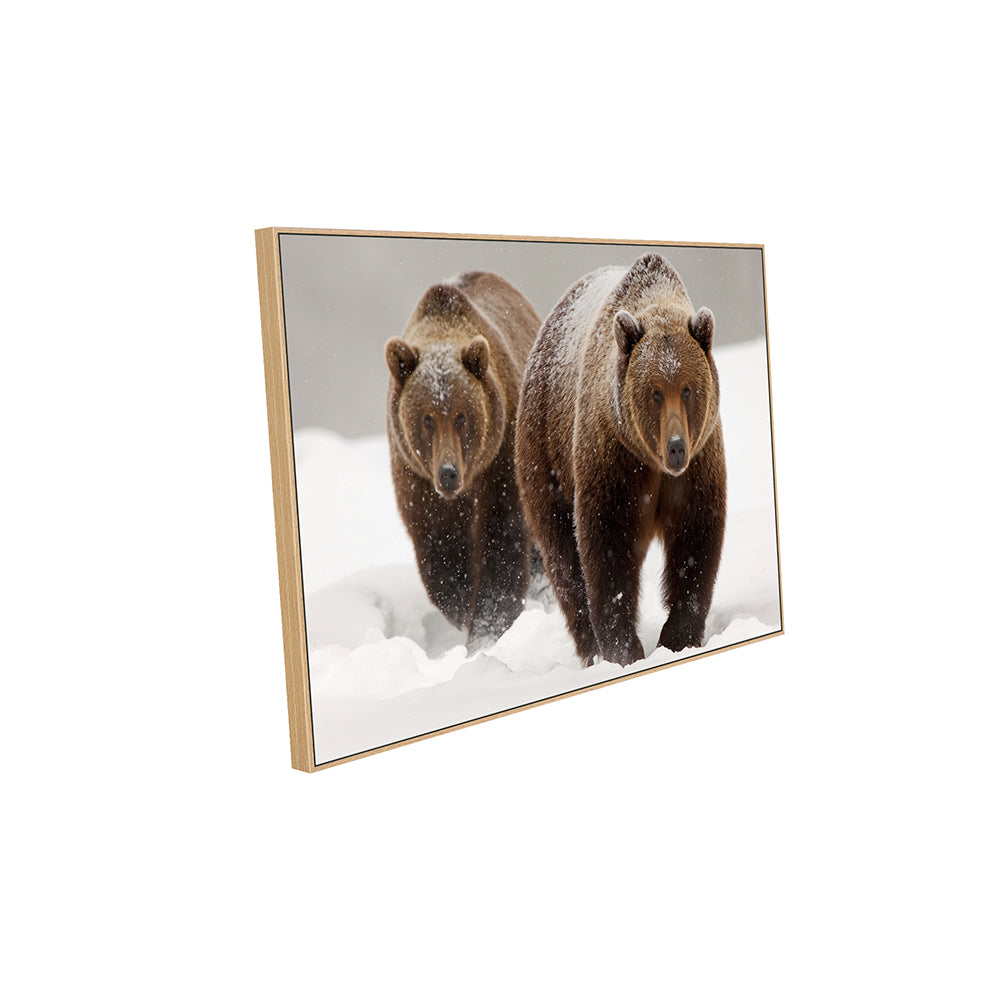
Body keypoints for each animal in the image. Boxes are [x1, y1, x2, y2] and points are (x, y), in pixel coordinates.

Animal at [385, 270, 542, 649]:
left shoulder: (499, 462)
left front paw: (487, 626)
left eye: (461, 416)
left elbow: (502, 542)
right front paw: (462, 607)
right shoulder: (416, 479)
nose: (448, 473)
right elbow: (441, 550)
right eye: (427, 418)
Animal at [515, 252, 726, 666]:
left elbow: (695, 540)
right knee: (563, 559)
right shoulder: (615, 459)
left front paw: (678, 637)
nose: (676, 446)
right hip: (544, 455)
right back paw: (589, 647)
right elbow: (608, 545)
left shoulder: (698, 466)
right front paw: (622, 648)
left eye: (688, 389)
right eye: (655, 392)